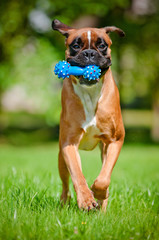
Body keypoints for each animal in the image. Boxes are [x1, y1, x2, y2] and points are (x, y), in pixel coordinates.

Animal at [51, 19, 125, 212]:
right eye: (76, 45)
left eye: (102, 45)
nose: (90, 53)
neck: (91, 94)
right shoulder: (69, 145)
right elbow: (77, 175)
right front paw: (85, 199)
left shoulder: (115, 140)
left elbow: (104, 178)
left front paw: (99, 193)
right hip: (61, 158)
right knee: (65, 185)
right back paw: (65, 202)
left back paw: (102, 206)